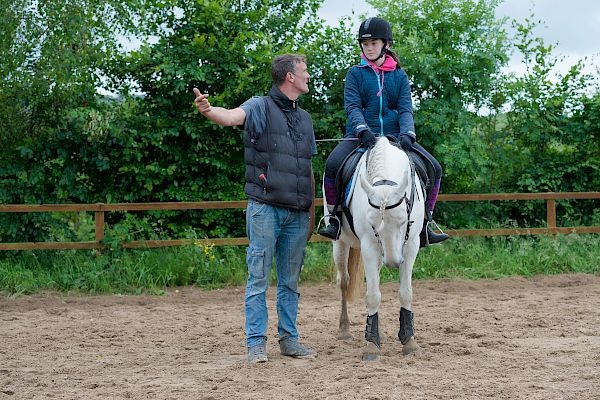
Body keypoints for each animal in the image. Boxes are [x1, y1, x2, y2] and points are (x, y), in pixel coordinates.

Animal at [326, 136, 424, 360]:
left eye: (402, 221)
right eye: (372, 224)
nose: (393, 262)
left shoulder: (411, 244)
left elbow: (406, 293)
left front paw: (409, 341)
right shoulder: (370, 246)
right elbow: (372, 295)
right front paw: (371, 345)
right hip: (341, 243)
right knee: (344, 281)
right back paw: (344, 330)